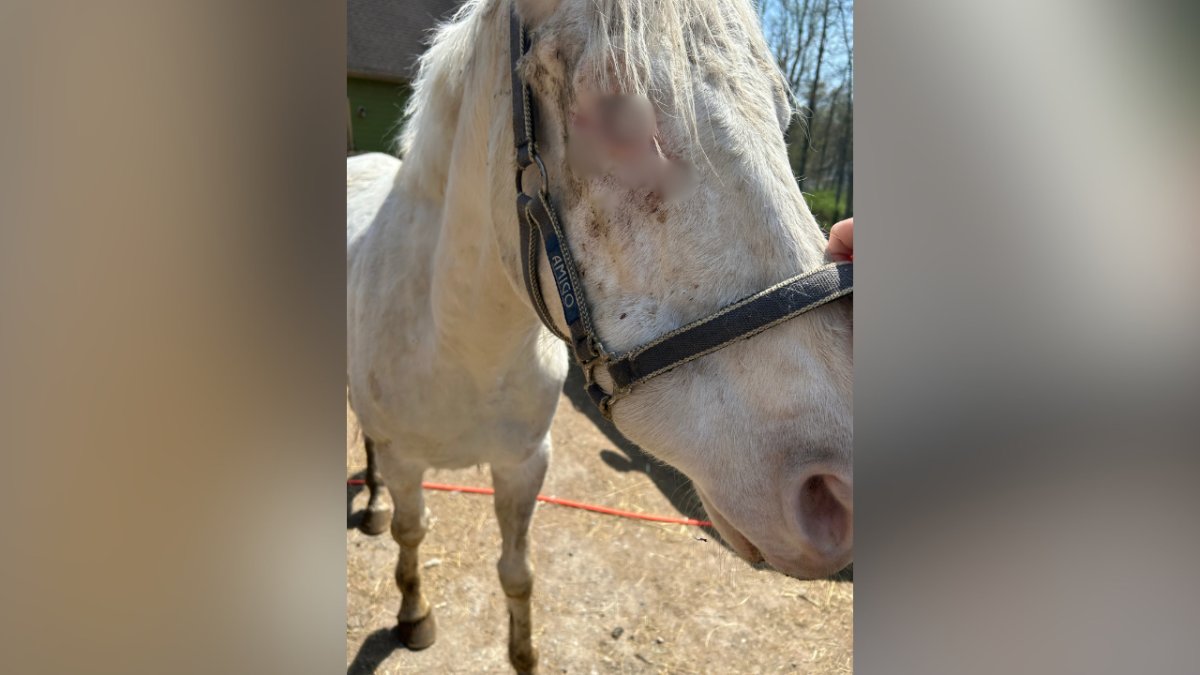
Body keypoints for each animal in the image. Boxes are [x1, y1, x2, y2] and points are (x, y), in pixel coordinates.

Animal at [346, 0, 853, 671]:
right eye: (617, 115)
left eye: (782, 115)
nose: (836, 490)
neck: (460, 348)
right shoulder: (408, 463)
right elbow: (411, 533)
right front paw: (414, 615)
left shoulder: (524, 464)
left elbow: (518, 575)